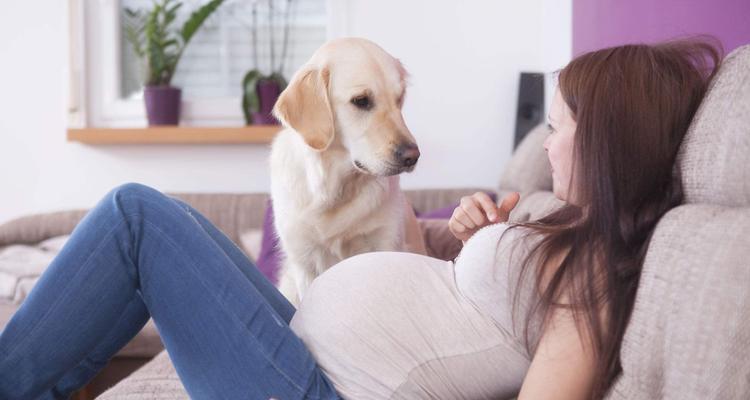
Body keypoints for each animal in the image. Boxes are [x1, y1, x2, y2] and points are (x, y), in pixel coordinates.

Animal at [270, 38, 426, 306]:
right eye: (361, 100)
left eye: (399, 99)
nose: (412, 156)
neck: (335, 190)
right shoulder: (305, 262)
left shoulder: (385, 244)